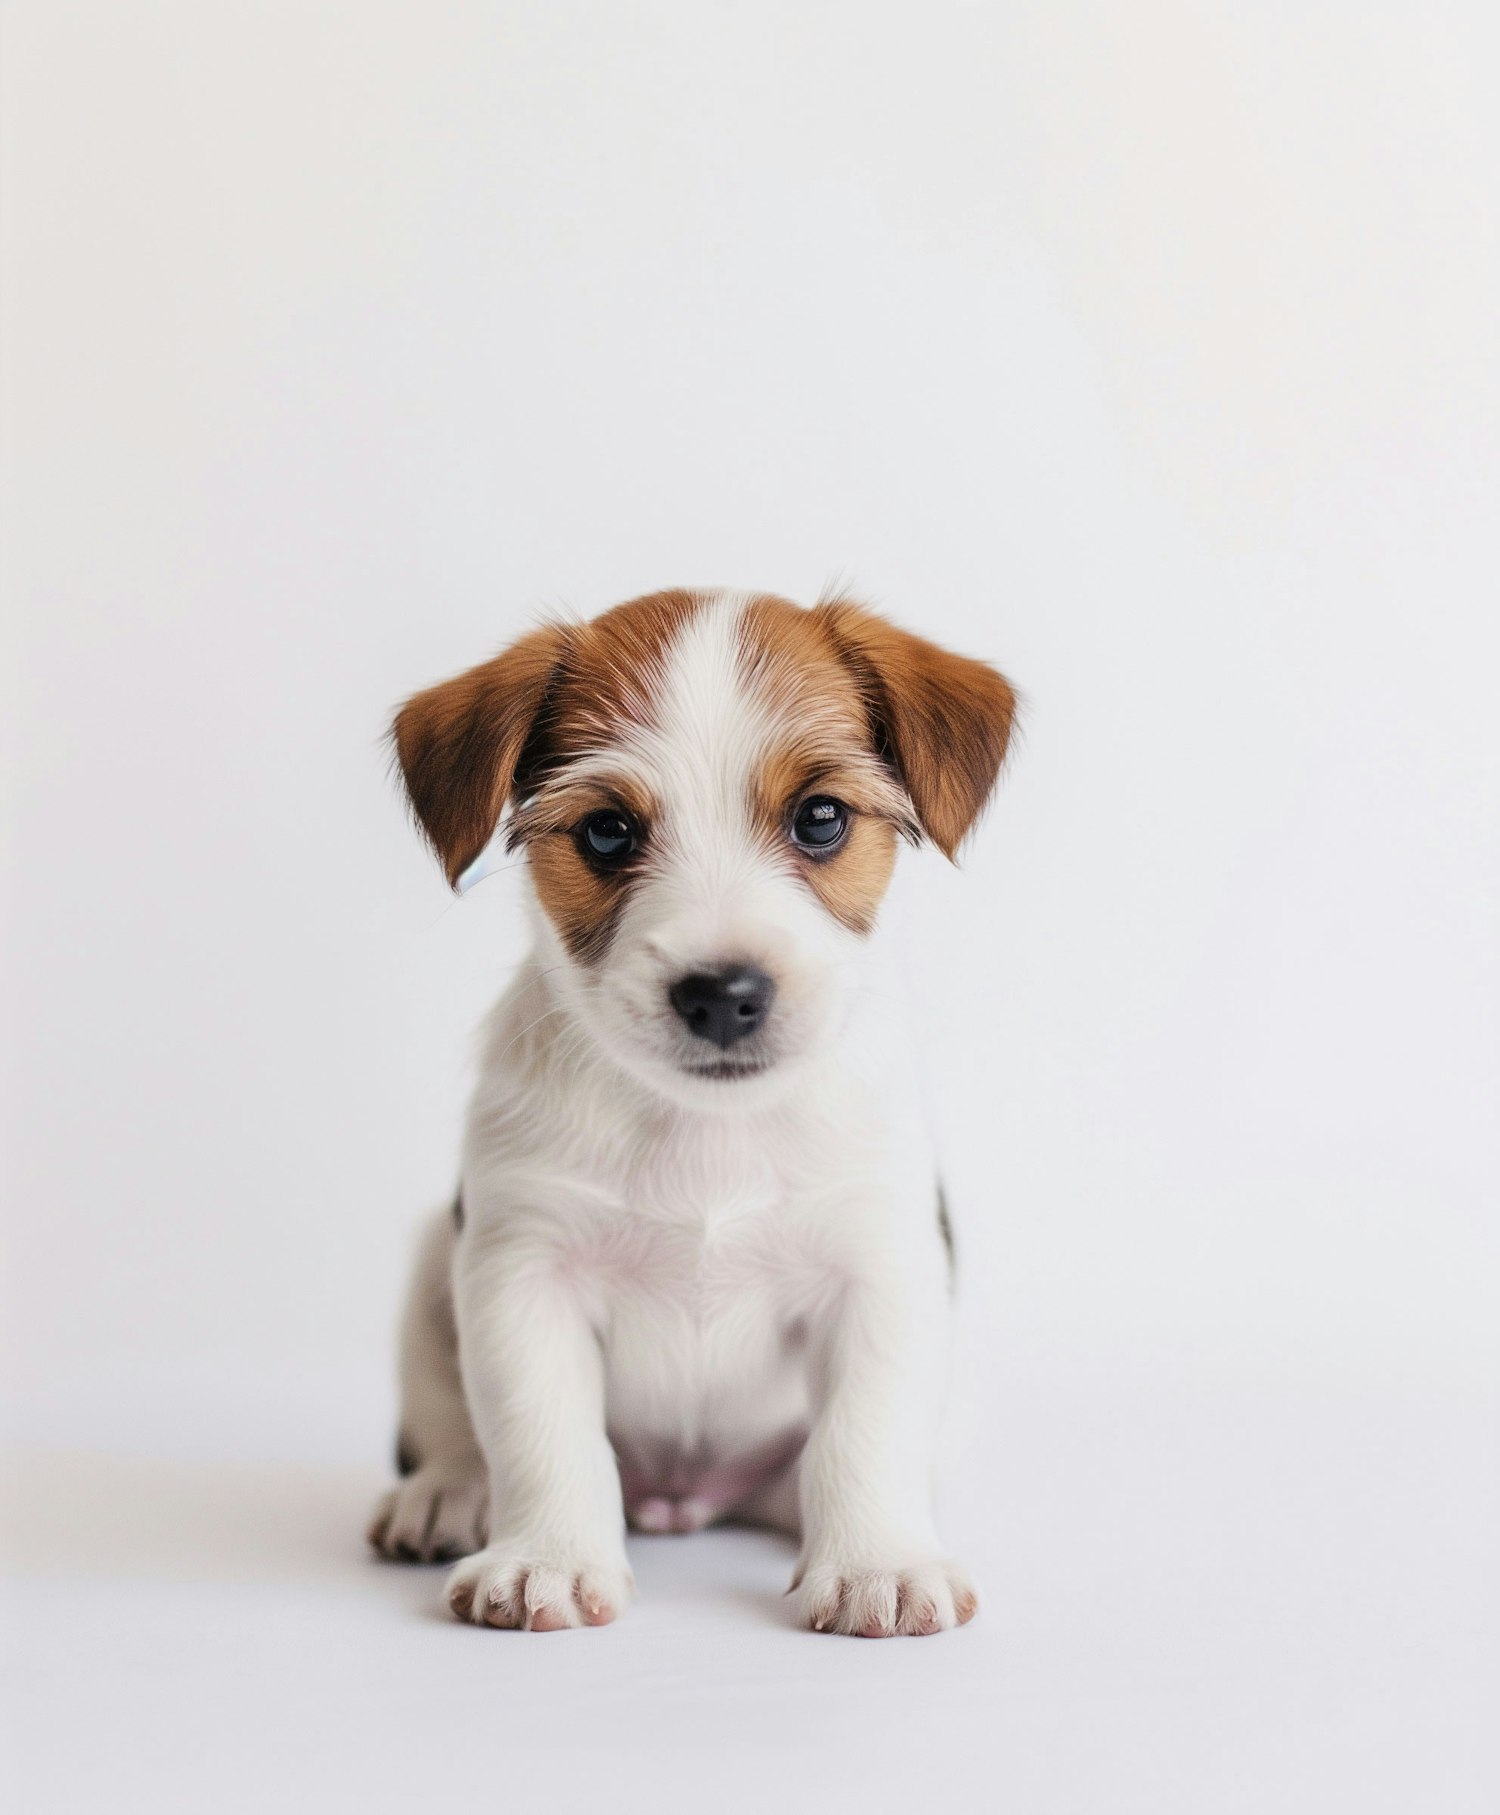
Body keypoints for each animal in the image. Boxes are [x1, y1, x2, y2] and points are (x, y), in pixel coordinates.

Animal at [366, 588, 1009, 1640]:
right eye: (607, 832)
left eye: (820, 817)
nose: (722, 994)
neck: (707, 1128)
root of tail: (684, 1497)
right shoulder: (520, 1269)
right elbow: (539, 1427)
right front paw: (547, 1558)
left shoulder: (881, 1266)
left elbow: (864, 1430)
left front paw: (877, 1562)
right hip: (433, 1259)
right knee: (447, 1422)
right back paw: (445, 1495)